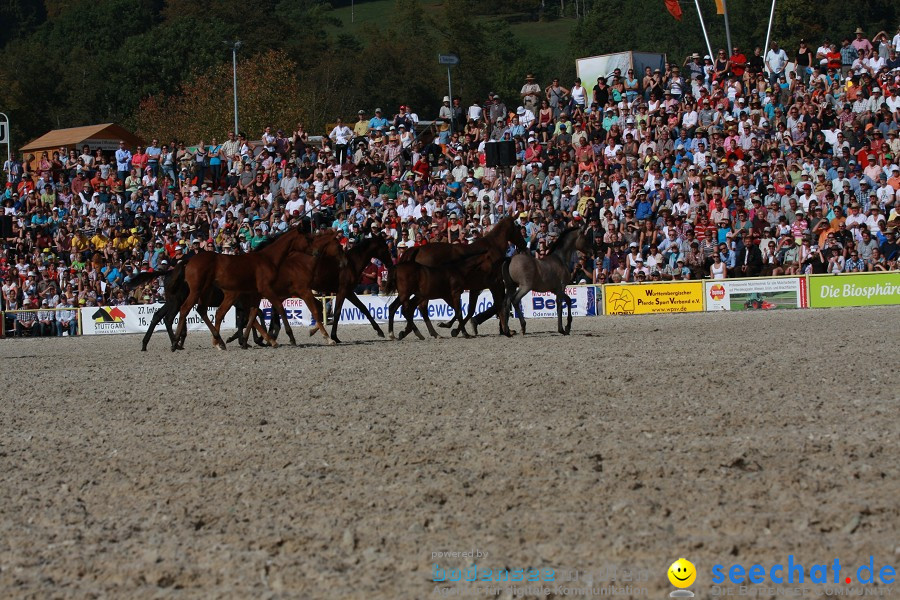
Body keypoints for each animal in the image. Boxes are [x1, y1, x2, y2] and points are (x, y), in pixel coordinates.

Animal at [174, 230, 342, 352]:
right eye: (307, 239)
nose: (316, 252)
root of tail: (189, 260)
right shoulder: (283, 291)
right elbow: (288, 310)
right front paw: (296, 338)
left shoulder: (260, 294)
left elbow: (256, 314)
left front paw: (253, 340)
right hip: (201, 291)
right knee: (187, 309)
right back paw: (177, 343)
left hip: (210, 292)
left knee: (208, 311)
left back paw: (222, 341)